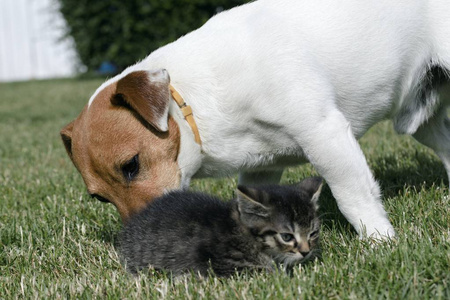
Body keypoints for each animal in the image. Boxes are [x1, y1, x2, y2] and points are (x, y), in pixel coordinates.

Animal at [60, 0, 450, 239]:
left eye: (131, 166)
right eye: (100, 198)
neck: (195, 101)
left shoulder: (324, 133)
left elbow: (354, 195)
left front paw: (380, 241)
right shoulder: (262, 165)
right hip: (425, 122)